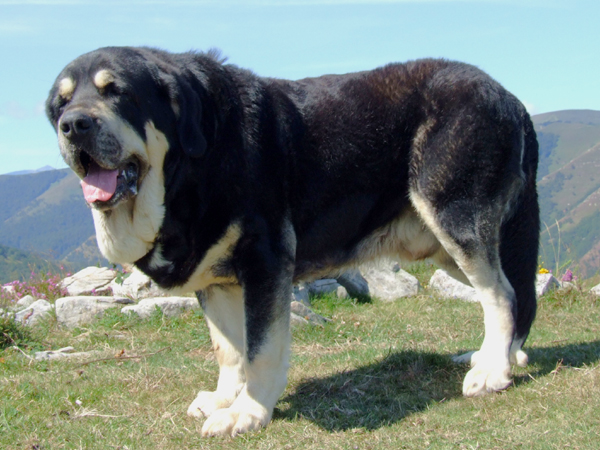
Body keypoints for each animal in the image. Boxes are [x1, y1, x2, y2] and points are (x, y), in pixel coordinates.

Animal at [47, 47, 540, 438]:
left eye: (118, 92)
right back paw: (495, 357)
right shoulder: (215, 279)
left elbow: (261, 350)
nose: (73, 125)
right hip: (448, 242)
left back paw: (492, 371)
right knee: (511, 294)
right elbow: (229, 349)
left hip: (455, 217)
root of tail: (510, 98)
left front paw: (248, 411)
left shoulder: (265, 261)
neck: (190, 166)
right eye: (61, 102)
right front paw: (226, 397)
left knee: (502, 294)